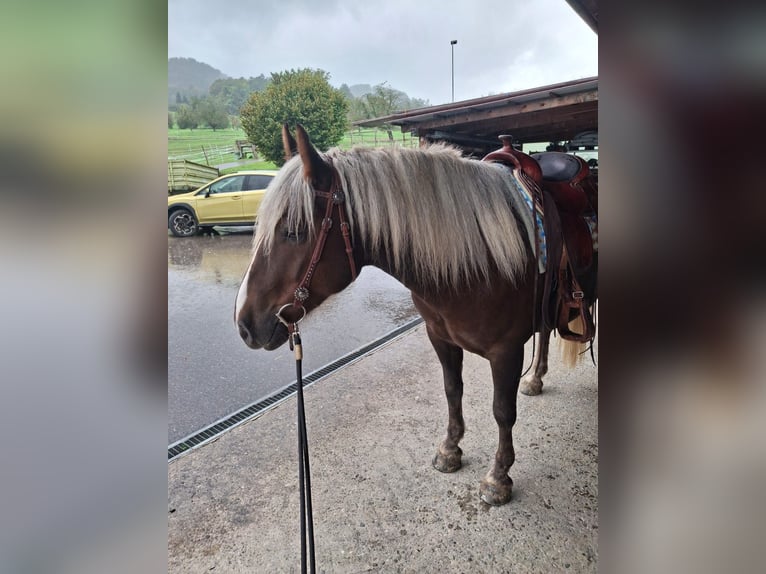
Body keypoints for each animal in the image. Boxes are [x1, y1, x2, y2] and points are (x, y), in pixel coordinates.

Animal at [235, 124, 596, 505]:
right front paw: (450, 450)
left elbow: (502, 411)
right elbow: (453, 391)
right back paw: (535, 379)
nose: (244, 324)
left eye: (293, 231)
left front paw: (498, 478)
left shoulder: (506, 352)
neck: (479, 259)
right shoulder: (440, 337)